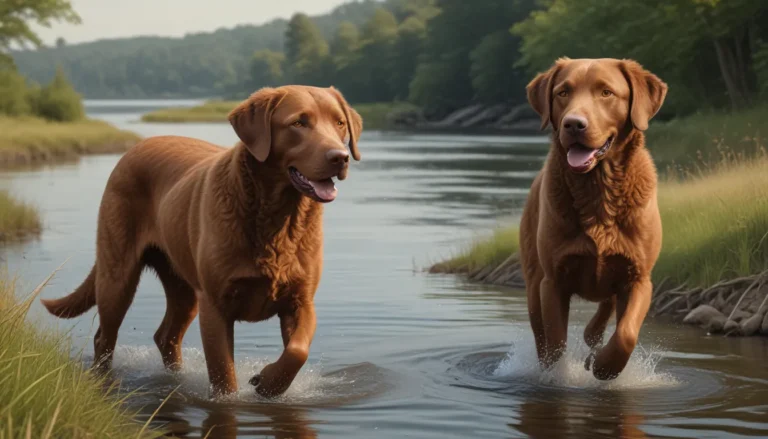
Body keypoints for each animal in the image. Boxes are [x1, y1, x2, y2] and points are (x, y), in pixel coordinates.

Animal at [41, 84, 364, 398]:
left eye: (339, 123)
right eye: (298, 122)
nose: (340, 157)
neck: (277, 219)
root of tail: (134, 148)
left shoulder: (301, 300)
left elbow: (298, 351)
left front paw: (269, 383)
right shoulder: (216, 306)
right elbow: (224, 376)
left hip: (182, 284)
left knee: (166, 335)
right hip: (117, 275)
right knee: (104, 336)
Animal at [520, 57, 664, 382]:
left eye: (606, 92)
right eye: (562, 92)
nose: (573, 124)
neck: (598, 189)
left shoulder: (639, 277)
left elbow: (626, 334)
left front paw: (605, 366)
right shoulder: (553, 282)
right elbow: (555, 341)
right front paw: (560, 375)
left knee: (606, 308)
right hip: (534, 282)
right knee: (540, 333)